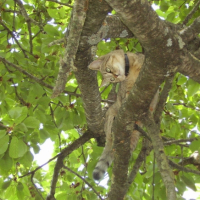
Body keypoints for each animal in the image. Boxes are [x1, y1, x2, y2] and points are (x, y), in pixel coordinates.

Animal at [89, 49, 158, 180]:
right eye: (111, 80)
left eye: (108, 70)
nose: (115, 76)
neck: (130, 68)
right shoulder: (125, 93)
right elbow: (126, 95)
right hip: (110, 118)